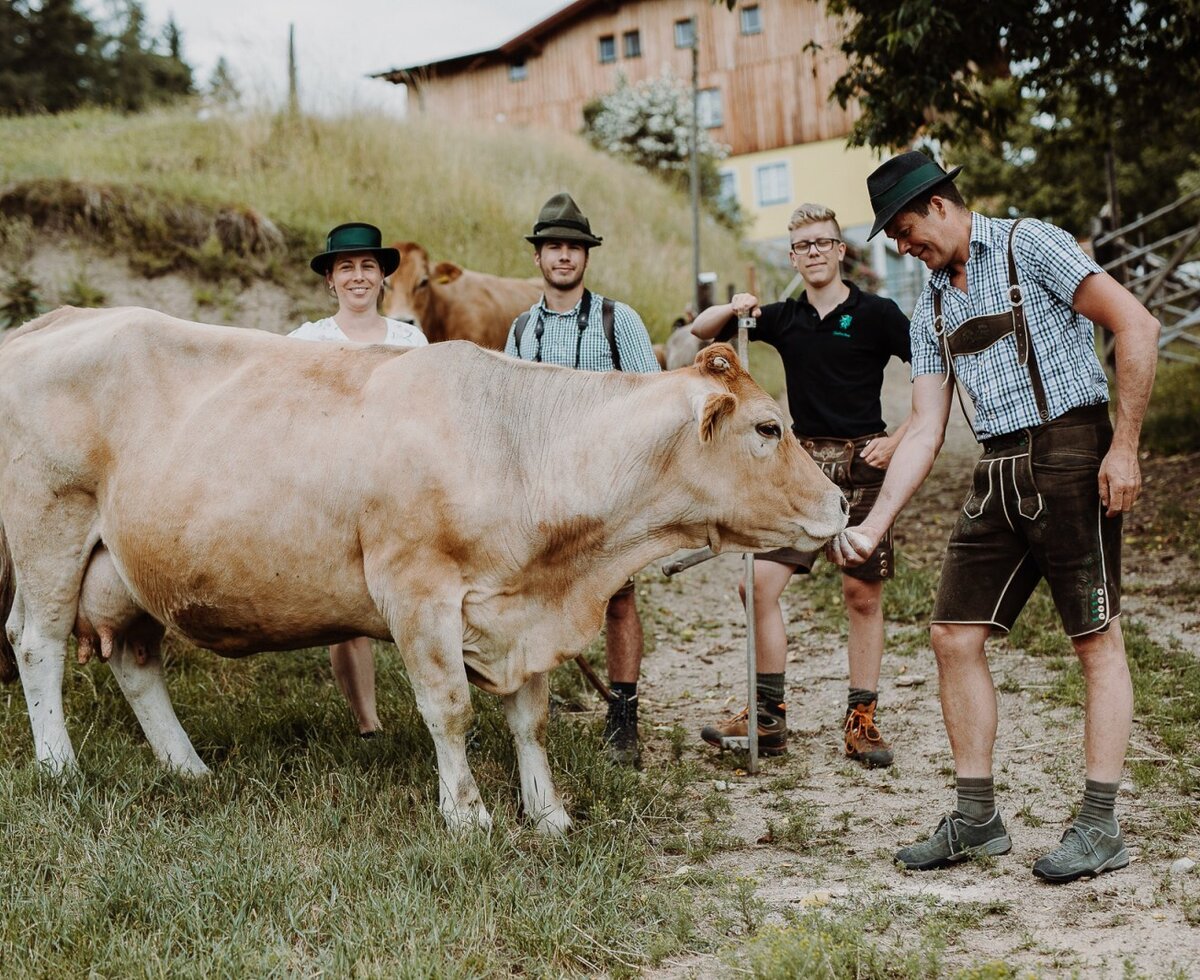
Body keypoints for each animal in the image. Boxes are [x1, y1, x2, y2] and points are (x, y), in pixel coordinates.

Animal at [0, 306, 848, 834]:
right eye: (769, 428)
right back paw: (61, 769)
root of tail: (53, 320)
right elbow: (450, 710)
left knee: (136, 662)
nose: (841, 501)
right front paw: (466, 813)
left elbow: (530, 718)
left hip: (128, 567)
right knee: (37, 644)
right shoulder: (416, 594)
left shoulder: (520, 611)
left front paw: (548, 813)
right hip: (48, 529)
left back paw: (187, 768)